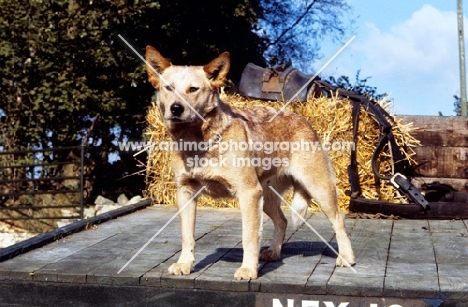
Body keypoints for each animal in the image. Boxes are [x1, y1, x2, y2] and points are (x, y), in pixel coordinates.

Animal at [144, 47, 352, 280]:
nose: (176, 108)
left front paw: (248, 269)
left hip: (318, 189)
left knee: (339, 221)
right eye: (168, 88)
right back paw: (274, 252)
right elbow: (187, 235)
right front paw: (184, 264)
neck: (198, 142)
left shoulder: (248, 193)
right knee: (282, 221)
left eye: (193, 89)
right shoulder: (186, 193)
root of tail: (302, 119)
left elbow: (249, 236)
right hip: (267, 197)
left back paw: (346, 258)